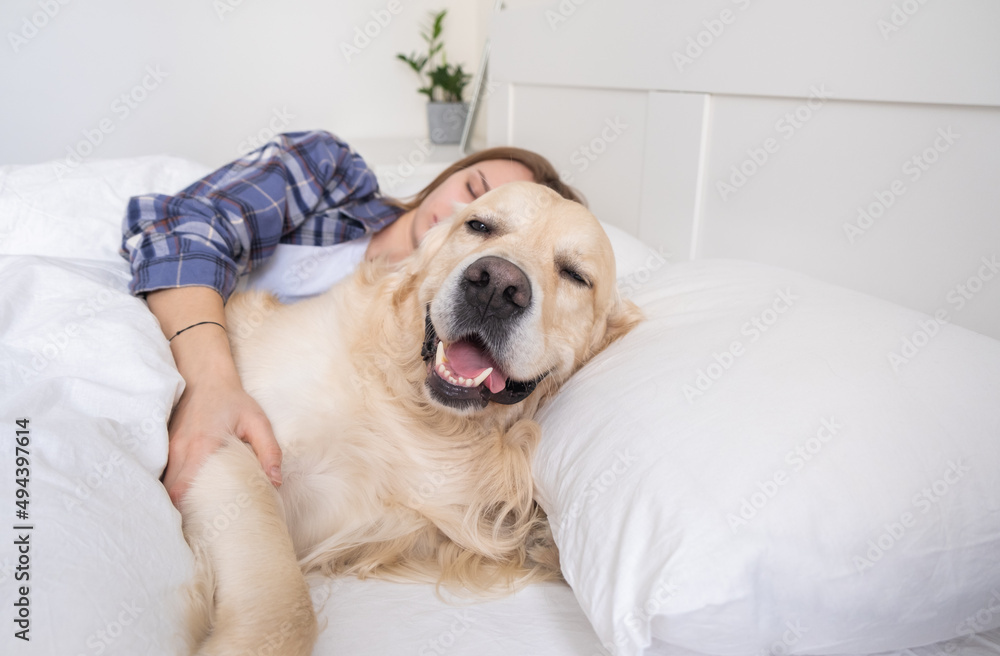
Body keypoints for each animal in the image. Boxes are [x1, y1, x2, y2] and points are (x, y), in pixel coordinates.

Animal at [180, 181, 640, 656]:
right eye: (479, 226)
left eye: (575, 275)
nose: (495, 284)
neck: (425, 418)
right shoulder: (231, 457)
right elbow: (287, 610)